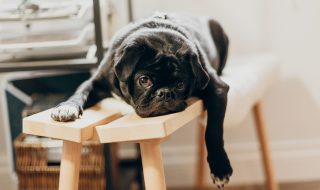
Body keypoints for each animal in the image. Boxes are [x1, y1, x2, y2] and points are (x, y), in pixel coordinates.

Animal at [52, 12, 232, 189]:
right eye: (144, 80)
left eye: (180, 84)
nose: (164, 93)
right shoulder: (95, 82)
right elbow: (80, 92)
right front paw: (67, 107)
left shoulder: (217, 89)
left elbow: (213, 131)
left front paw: (220, 167)